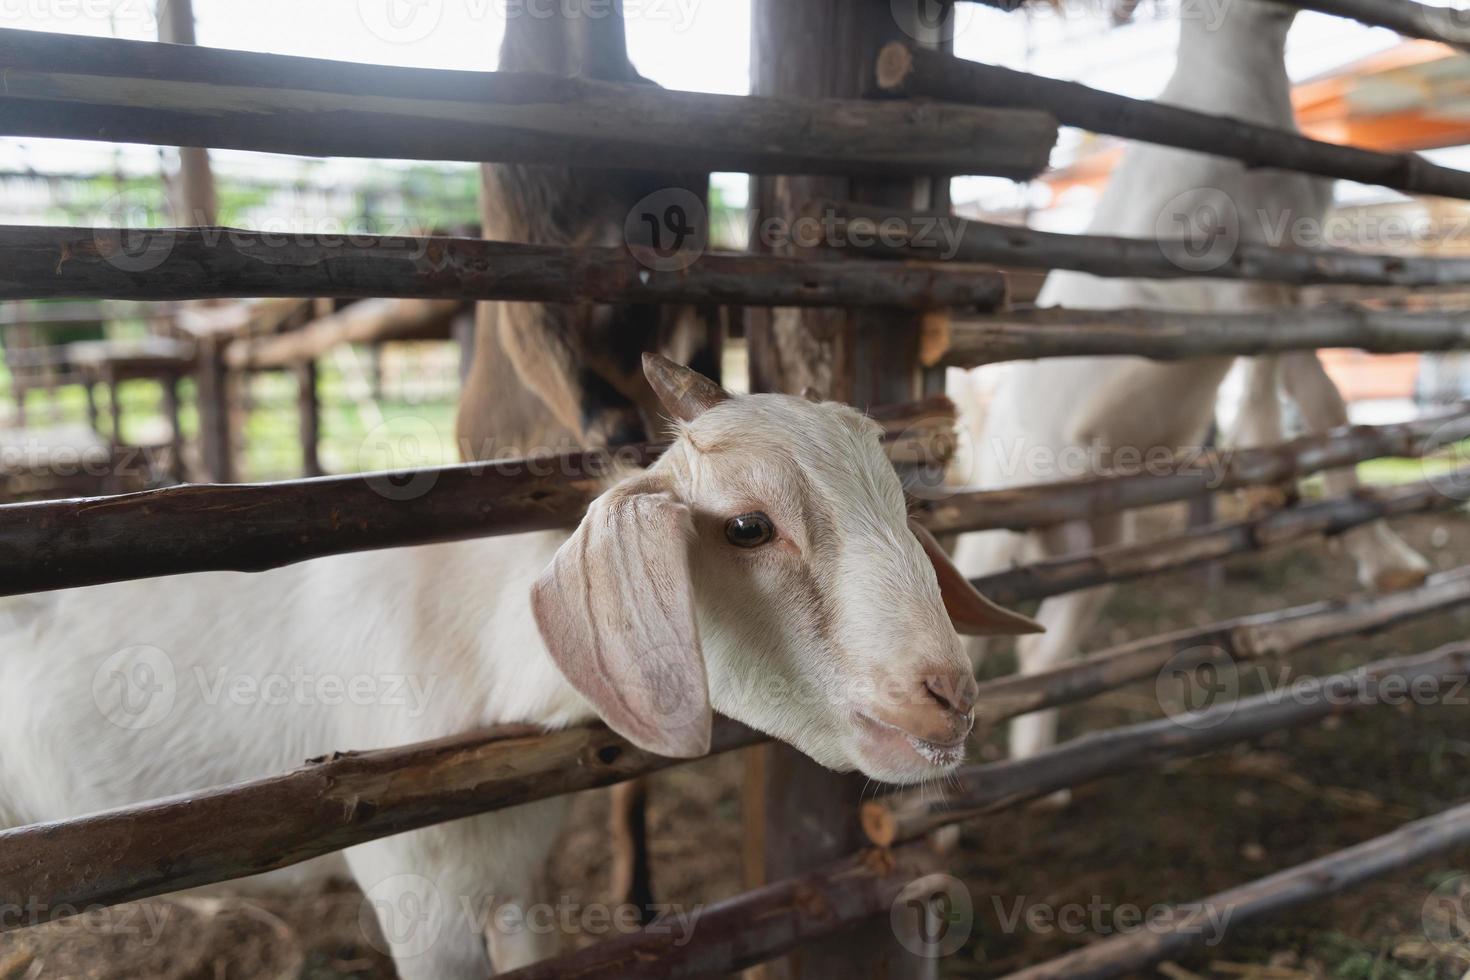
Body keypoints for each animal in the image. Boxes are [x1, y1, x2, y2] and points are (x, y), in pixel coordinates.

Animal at [0, 357, 1040, 975]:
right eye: (748, 526)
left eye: (901, 505)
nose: (949, 699)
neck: (479, 655)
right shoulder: (417, 898)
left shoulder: (520, 873)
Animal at [952, 0, 1422, 764]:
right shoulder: (1210, 263)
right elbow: (1260, 347)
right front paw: (1264, 473)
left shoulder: (1295, 267)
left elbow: (1323, 399)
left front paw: (1391, 562)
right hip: (995, 528)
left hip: (1100, 544)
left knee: (1041, 654)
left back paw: (1045, 769)